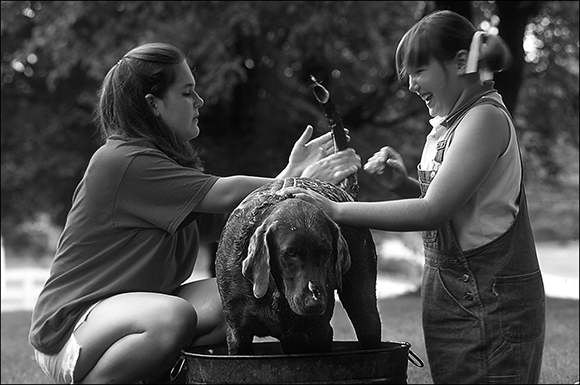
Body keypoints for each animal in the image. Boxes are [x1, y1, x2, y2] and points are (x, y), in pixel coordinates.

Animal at [213, 177, 380, 354]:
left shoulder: (320, 332)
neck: (275, 291)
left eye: (325, 251)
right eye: (290, 253)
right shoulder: (238, 333)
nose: (314, 303)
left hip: (365, 313)